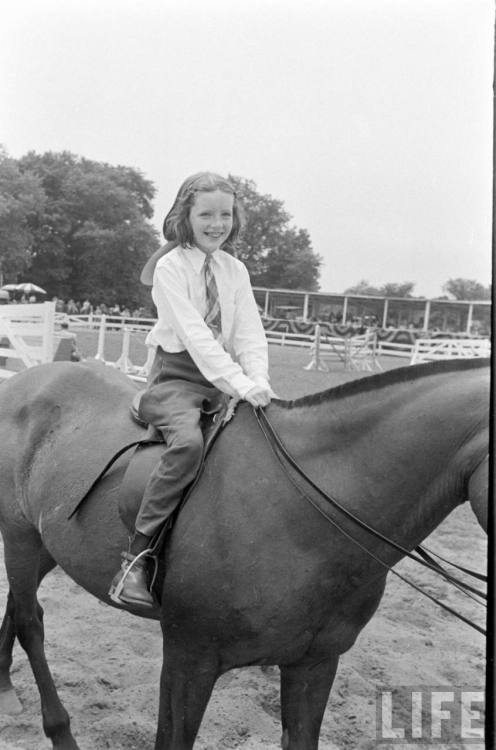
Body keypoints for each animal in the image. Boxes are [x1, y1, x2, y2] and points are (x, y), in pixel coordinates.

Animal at [0, 360, 488, 750]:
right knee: (29, 620)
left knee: (16, 605)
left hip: (47, 542)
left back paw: (4, 687)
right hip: (20, 534)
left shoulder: (314, 664)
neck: (300, 514)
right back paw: (59, 730)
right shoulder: (188, 660)